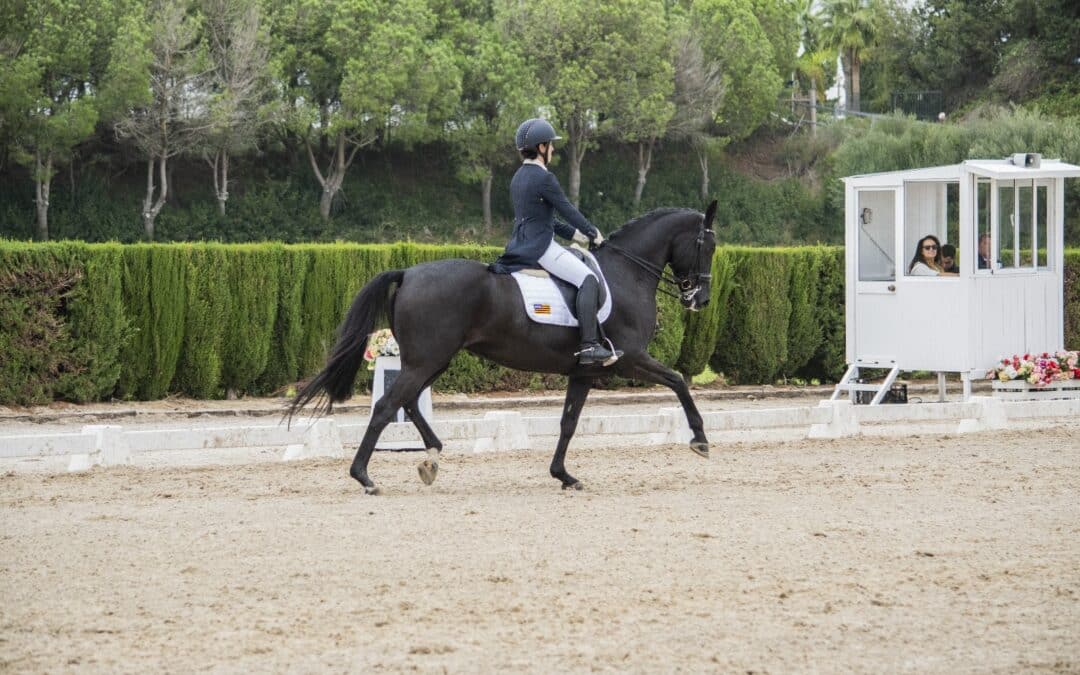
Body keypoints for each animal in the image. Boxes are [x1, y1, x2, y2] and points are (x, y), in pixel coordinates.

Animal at [291, 198, 721, 490]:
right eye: (709, 246)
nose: (700, 300)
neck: (626, 272)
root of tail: (409, 272)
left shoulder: (584, 372)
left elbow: (568, 423)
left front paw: (563, 475)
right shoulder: (629, 357)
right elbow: (678, 381)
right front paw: (700, 439)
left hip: (432, 360)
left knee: (407, 403)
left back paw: (431, 456)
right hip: (426, 360)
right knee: (386, 407)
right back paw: (364, 477)